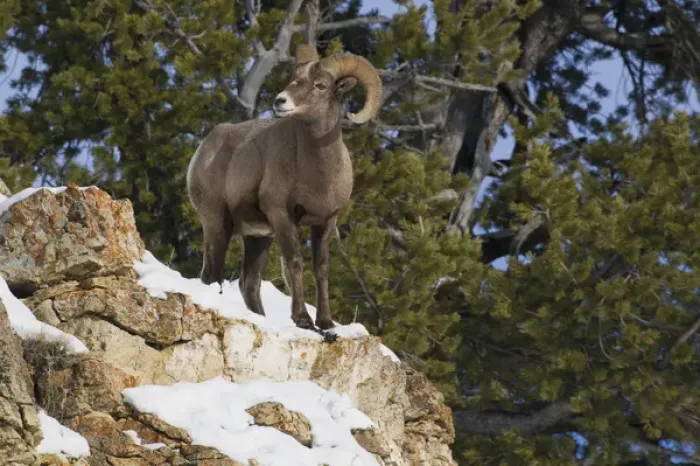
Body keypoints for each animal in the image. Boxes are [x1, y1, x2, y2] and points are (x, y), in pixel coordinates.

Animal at [186, 44, 382, 331]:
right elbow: (296, 262)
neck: (318, 176)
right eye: (294, 78)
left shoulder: (325, 222)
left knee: (249, 283)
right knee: (211, 275)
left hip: (258, 237)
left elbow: (322, 268)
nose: (280, 101)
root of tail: (204, 148)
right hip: (217, 224)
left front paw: (326, 323)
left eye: (321, 85)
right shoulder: (282, 217)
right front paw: (302, 320)